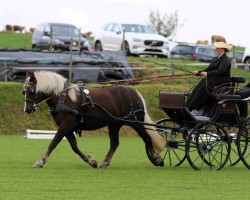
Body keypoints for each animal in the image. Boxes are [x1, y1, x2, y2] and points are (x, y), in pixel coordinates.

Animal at [23, 71, 164, 168]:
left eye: (31, 91)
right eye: (23, 92)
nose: (27, 109)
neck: (63, 97)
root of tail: (132, 91)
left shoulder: (66, 125)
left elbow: (54, 142)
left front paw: (41, 161)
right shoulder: (67, 127)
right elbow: (74, 147)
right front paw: (91, 161)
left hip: (136, 123)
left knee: (147, 138)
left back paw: (157, 159)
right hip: (114, 124)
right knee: (115, 143)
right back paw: (105, 163)